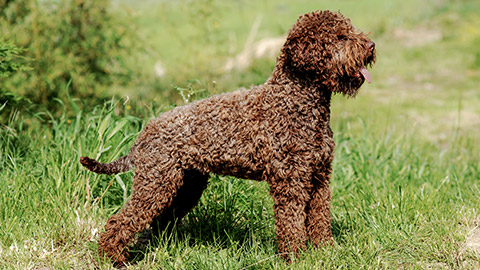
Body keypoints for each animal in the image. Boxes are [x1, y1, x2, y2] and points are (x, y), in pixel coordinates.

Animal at [80, 10, 376, 266]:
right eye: (340, 37)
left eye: (349, 31)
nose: (371, 46)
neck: (296, 102)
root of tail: (144, 132)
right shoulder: (290, 180)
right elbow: (291, 223)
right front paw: (295, 257)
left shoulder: (319, 176)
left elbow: (319, 217)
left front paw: (326, 251)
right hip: (155, 184)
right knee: (122, 221)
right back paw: (112, 258)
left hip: (185, 184)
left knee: (158, 222)